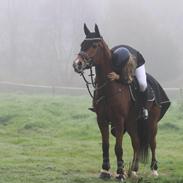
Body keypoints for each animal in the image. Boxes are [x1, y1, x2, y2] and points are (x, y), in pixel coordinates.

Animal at [72, 23, 170, 181]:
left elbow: (118, 148)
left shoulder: (118, 120)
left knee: (152, 143)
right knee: (136, 142)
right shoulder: (101, 119)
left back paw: (154, 170)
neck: (108, 87)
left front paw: (119, 173)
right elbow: (105, 145)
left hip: (151, 122)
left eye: (94, 45)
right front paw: (105, 171)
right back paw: (134, 170)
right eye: (82, 44)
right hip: (131, 122)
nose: (77, 64)